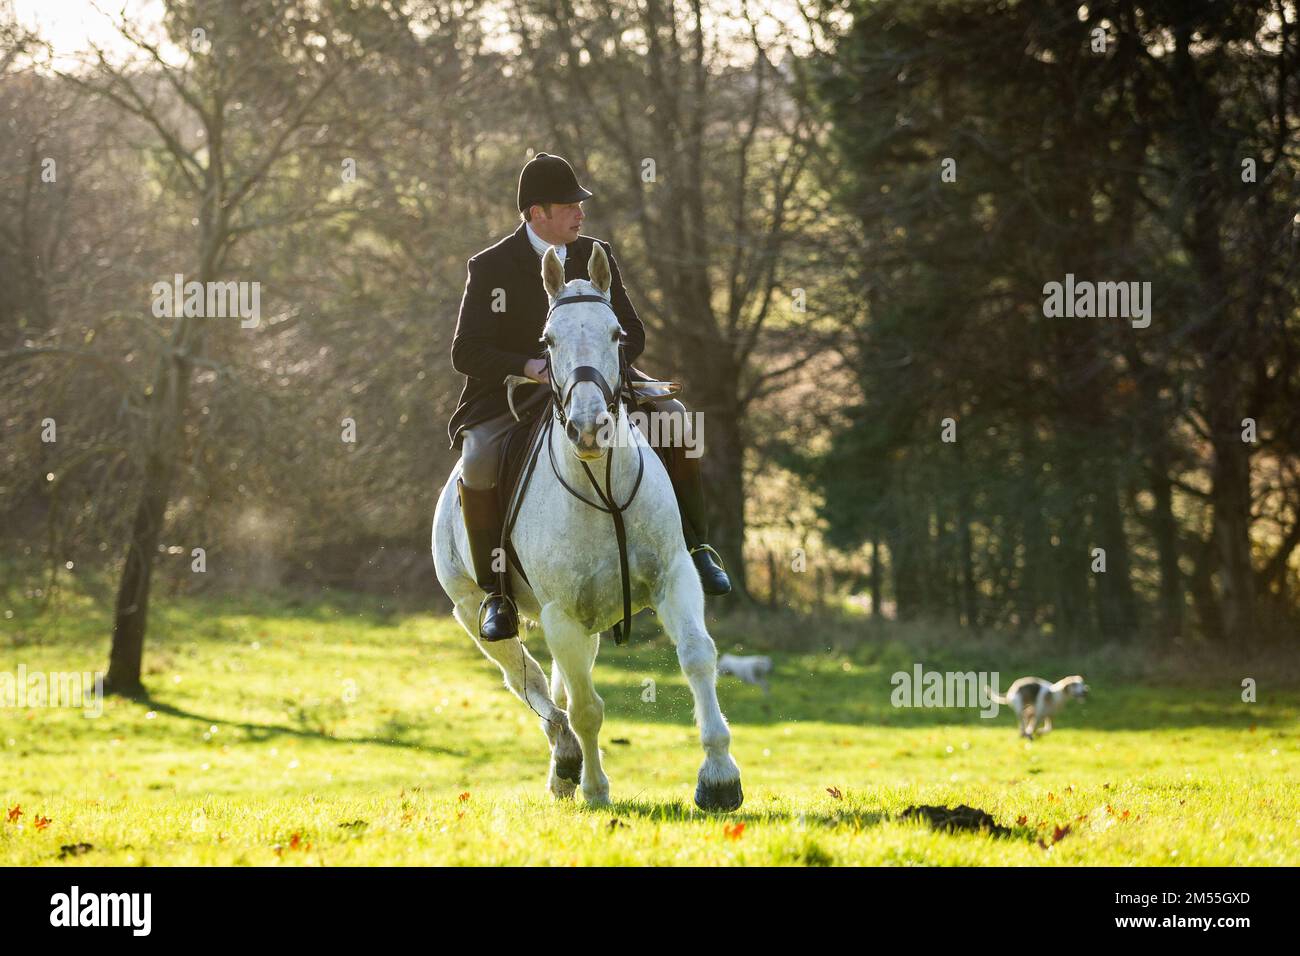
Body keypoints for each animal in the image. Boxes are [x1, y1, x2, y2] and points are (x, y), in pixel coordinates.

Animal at [436, 243, 743, 811]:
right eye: (547, 341)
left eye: (617, 333)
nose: (588, 428)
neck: (603, 487)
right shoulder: (560, 615)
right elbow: (585, 707)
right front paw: (597, 790)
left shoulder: (674, 578)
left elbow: (696, 657)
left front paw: (719, 777)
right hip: (473, 610)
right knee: (529, 682)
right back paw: (566, 760)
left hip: (592, 618)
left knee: (552, 688)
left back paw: (567, 767)